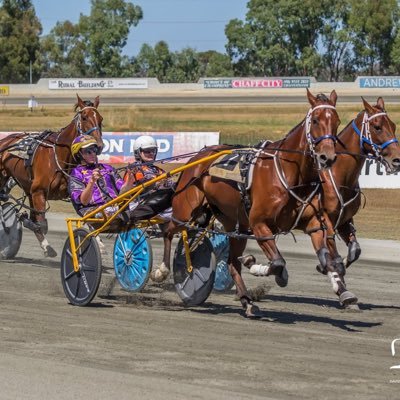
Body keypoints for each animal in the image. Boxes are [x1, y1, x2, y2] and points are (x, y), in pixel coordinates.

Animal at [0, 95, 103, 256]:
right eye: (84, 117)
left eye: (101, 119)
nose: (98, 145)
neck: (60, 156)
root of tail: (5, 140)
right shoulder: (39, 191)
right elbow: (41, 224)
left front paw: (98, 241)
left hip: (28, 190)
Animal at [155, 89, 358, 318]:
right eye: (315, 120)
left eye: (337, 122)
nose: (327, 157)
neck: (290, 173)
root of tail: (197, 158)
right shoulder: (260, 225)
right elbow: (278, 263)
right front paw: (258, 265)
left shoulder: (314, 223)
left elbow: (328, 257)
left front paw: (340, 284)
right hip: (185, 209)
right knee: (168, 231)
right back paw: (161, 270)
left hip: (234, 223)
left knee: (232, 262)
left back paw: (247, 301)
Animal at [320, 97, 400, 272]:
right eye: (377, 127)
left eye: (393, 125)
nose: (397, 159)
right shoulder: (325, 220)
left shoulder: (345, 220)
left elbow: (355, 251)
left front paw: (343, 262)